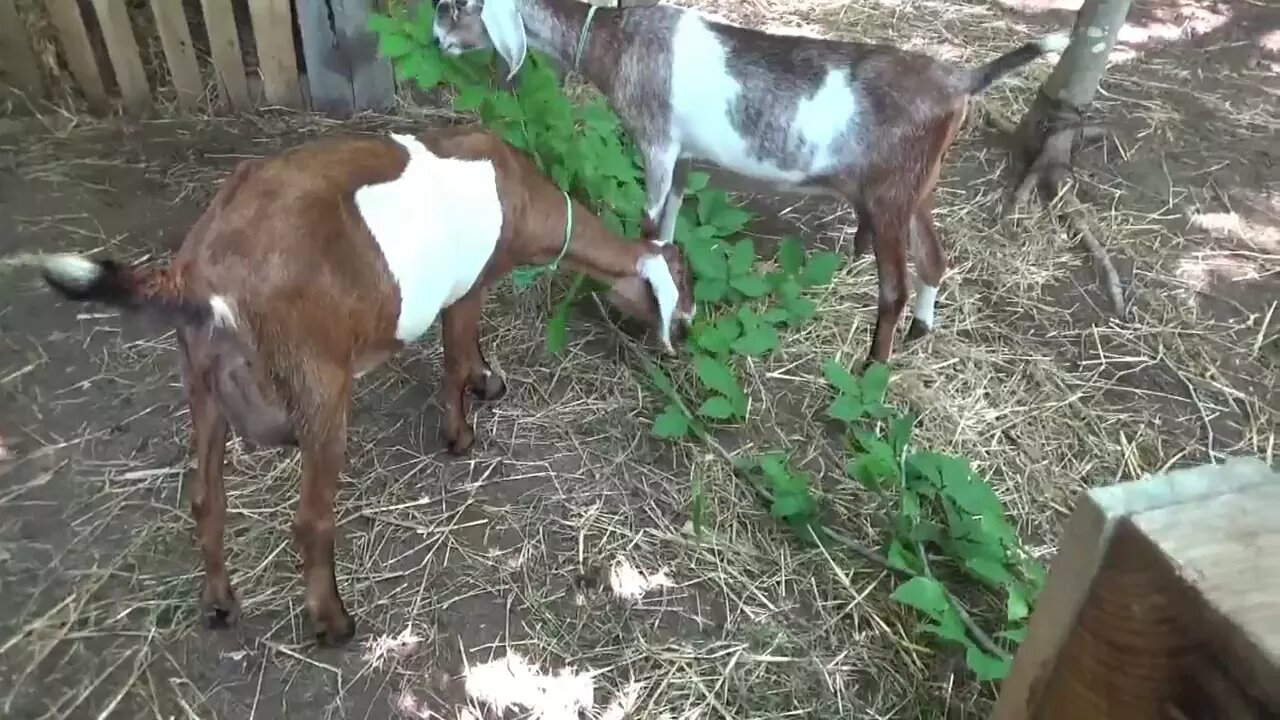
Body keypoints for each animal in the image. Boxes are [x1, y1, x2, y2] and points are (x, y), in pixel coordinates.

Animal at [32, 124, 691, 645]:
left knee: (206, 497)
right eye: (682, 285)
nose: (683, 332)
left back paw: (219, 605)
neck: (522, 196)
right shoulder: (467, 287)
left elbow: (467, 353)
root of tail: (198, 271)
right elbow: (455, 357)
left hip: (201, 380)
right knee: (310, 521)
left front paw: (488, 384)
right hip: (319, 385)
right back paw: (334, 623)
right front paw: (461, 436)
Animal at [430, 0, 1070, 366]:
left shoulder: (656, 142)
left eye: (453, 8)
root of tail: (960, 79)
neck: (619, 38)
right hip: (917, 185)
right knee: (935, 257)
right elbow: (668, 222)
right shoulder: (684, 157)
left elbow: (647, 220)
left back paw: (873, 368)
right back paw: (921, 331)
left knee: (894, 287)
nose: (436, 43)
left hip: (890, 198)